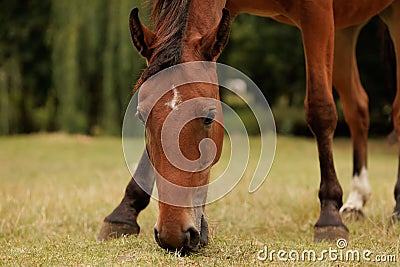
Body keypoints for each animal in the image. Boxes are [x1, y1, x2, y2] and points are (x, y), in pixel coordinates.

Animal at [97, 0, 400, 253]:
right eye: (140, 116)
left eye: (209, 116)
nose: (174, 234)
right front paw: (124, 212)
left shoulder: (318, 13)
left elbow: (320, 110)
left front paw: (329, 217)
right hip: (345, 29)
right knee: (358, 107)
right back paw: (357, 200)